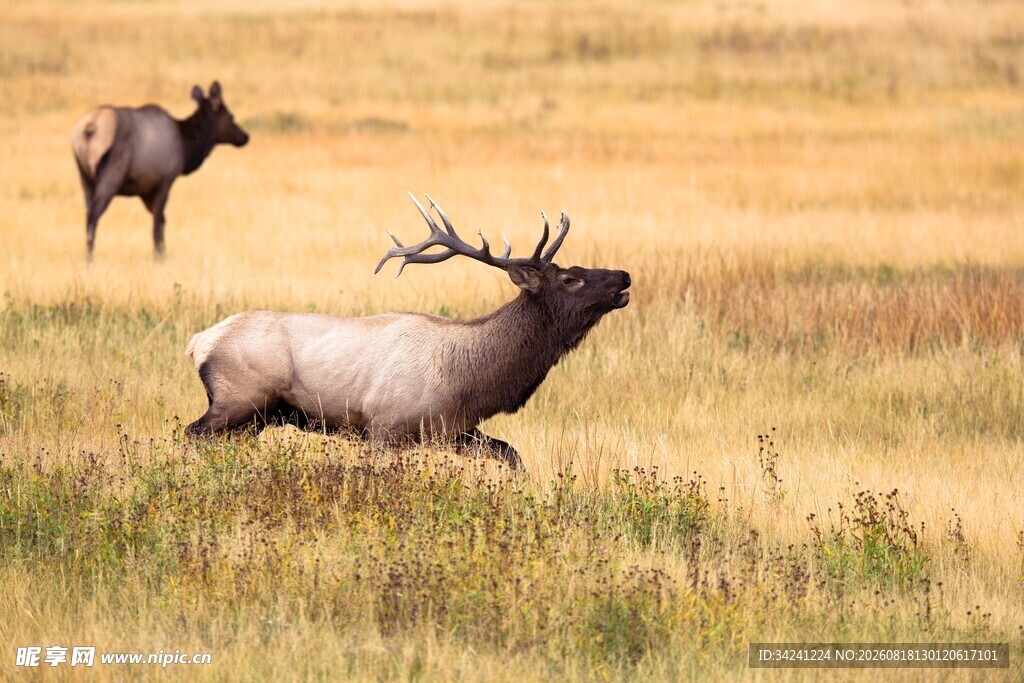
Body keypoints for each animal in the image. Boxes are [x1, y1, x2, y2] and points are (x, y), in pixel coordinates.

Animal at [71, 81, 249, 261]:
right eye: (231, 116)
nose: (245, 136)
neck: (186, 146)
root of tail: (90, 128)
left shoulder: (144, 189)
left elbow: (161, 219)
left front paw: (162, 252)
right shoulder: (166, 179)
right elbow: (158, 221)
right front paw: (158, 256)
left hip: (84, 178)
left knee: (88, 213)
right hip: (111, 175)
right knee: (93, 216)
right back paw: (90, 259)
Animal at [184, 194, 631, 470]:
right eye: (571, 279)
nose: (624, 276)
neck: (469, 380)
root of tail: (199, 343)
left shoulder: (455, 431)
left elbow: (512, 455)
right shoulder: (384, 426)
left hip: (256, 418)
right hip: (239, 399)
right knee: (191, 433)